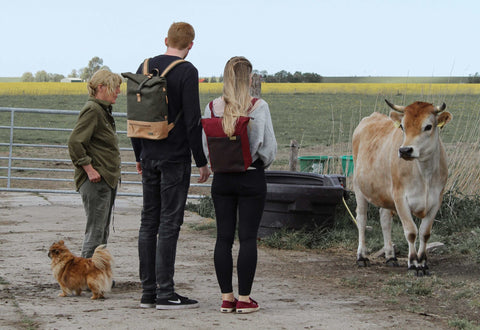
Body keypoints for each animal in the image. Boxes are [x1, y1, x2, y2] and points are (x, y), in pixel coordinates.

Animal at [352, 100, 450, 276]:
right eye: (403, 127)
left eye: (428, 126)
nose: (405, 150)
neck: (424, 173)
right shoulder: (400, 198)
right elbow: (411, 232)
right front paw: (413, 264)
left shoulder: (436, 200)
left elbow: (425, 233)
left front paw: (422, 263)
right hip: (359, 187)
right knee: (361, 219)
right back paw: (362, 256)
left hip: (384, 193)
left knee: (385, 220)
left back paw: (390, 256)